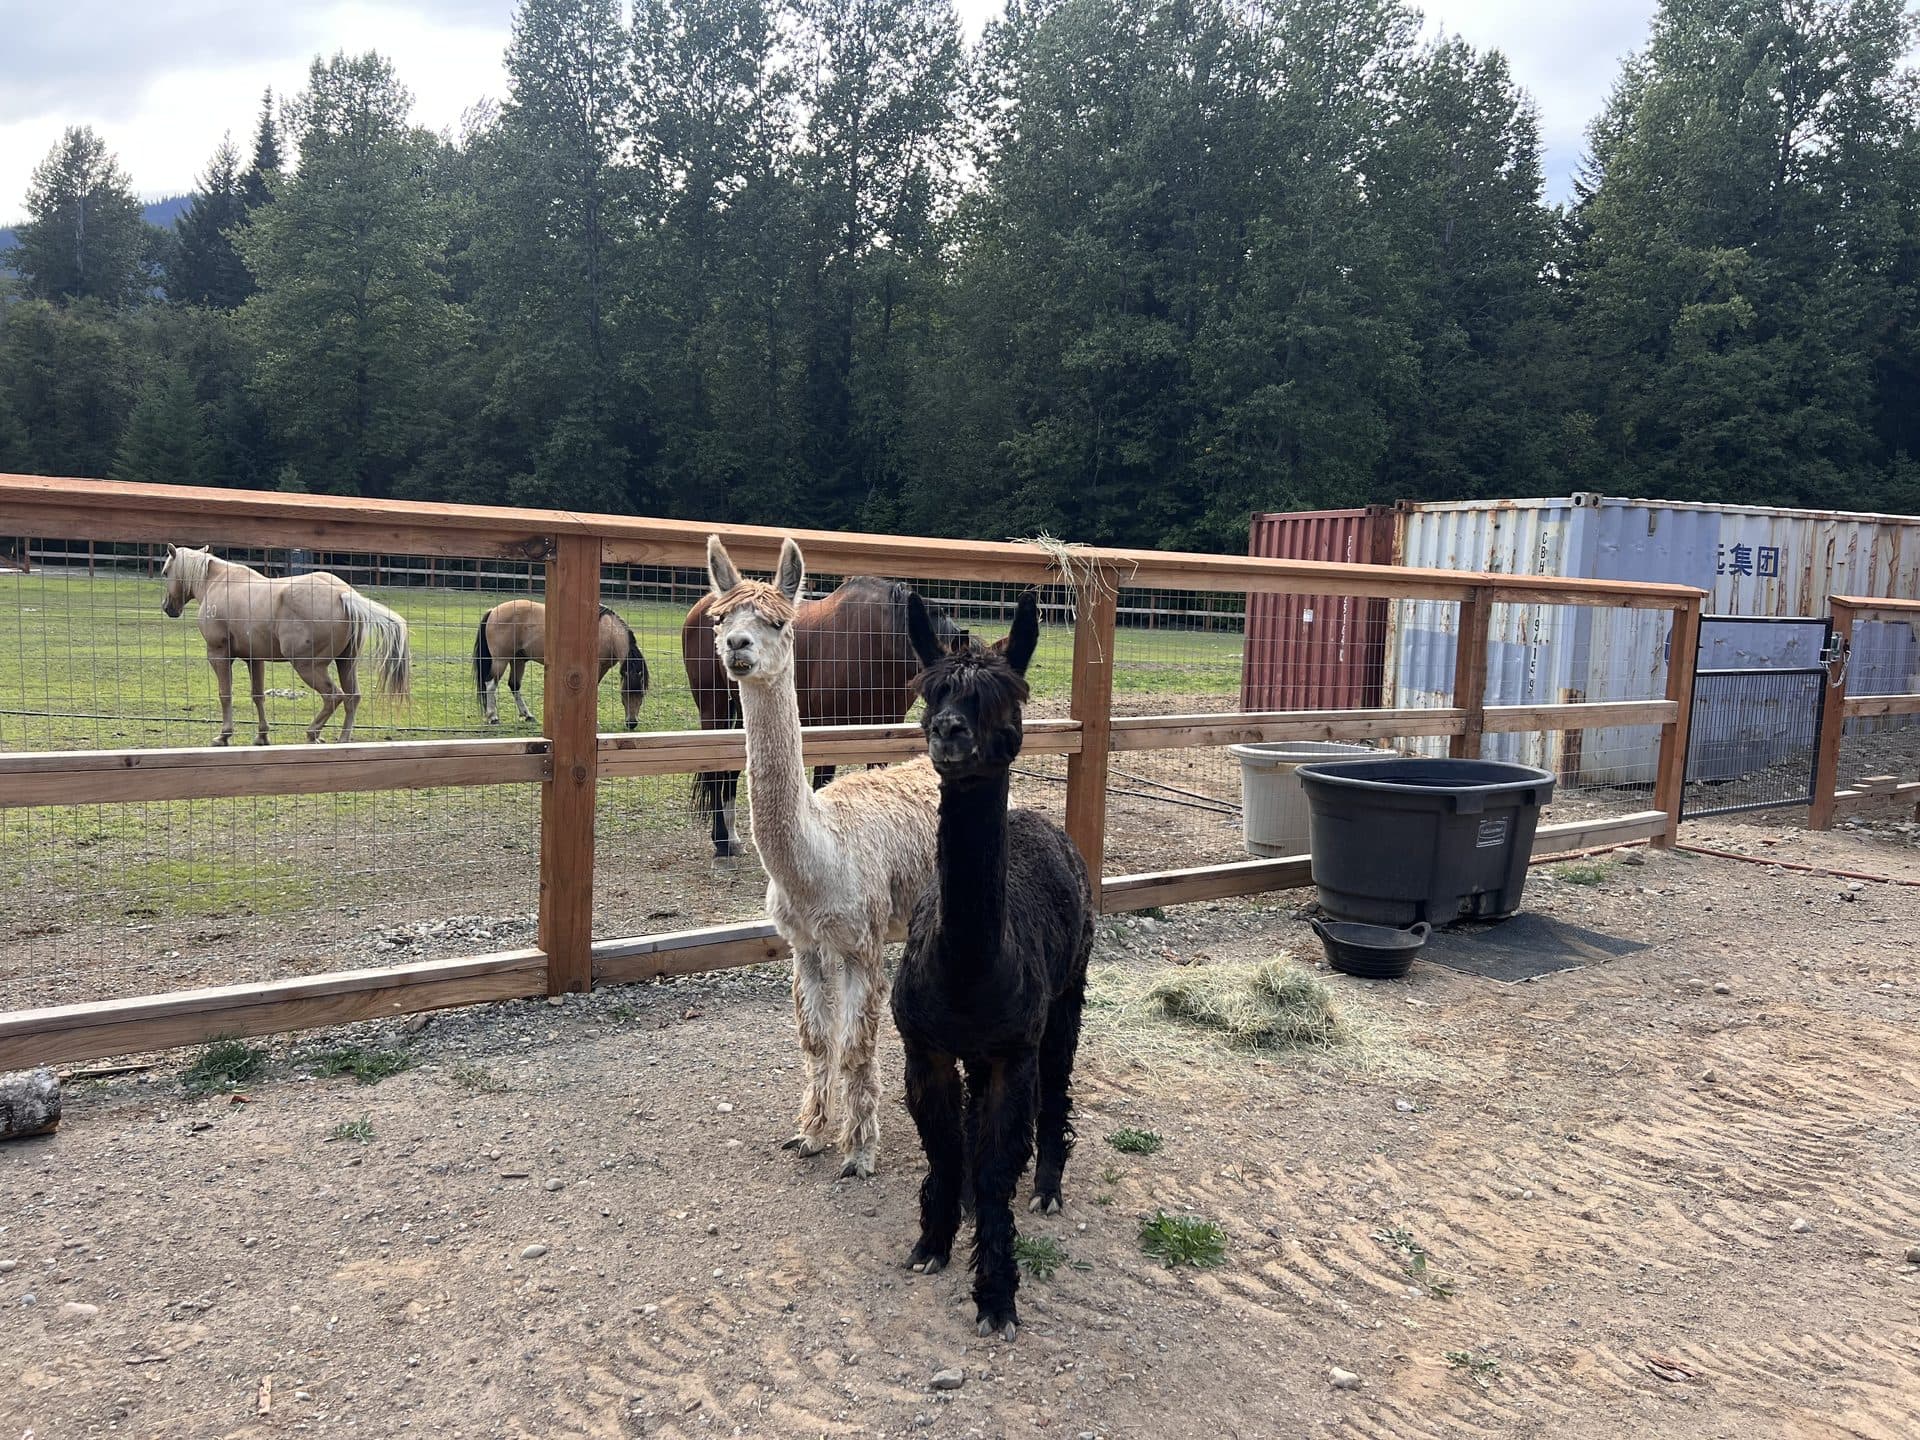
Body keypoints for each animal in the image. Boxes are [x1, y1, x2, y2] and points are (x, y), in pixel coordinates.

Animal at [158, 544, 412, 745]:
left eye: (165, 572)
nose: (167, 607)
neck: (218, 583)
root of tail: (342, 595)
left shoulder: (219, 654)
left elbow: (225, 694)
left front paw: (224, 735)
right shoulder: (254, 658)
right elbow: (258, 695)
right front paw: (262, 736)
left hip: (307, 666)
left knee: (333, 697)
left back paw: (313, 733)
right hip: (346, 663)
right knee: (352, 697)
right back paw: (342, 739)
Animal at [472, 598, 651, 730]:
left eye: (642, 694)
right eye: (625, 693)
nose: (632, 723)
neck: (605, 629)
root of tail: (493, 611)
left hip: (518, 660)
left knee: (514, 685)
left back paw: (528, 715)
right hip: (501, 660)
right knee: (491, 685)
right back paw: (493, 717)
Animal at [682, 575, 967, 857]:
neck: (879, 643)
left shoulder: (883, 730)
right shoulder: (829, 727)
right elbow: (823, 781)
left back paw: (732, 839)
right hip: (713, 708)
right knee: (714, 771)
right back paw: (721, 842)